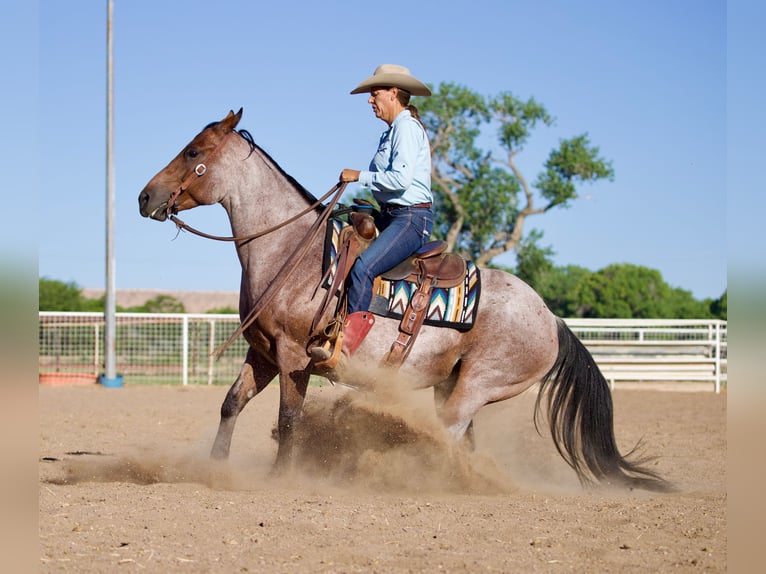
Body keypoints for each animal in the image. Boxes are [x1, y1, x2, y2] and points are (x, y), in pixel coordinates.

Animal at [138, 109, 671, 492]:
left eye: (193, 151)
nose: (145, 197)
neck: (292, 249)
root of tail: (552, 318)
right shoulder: (263, 352)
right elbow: (231, 404)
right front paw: (215, 468)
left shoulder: (294, 357)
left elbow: (289, 421)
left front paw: (280, 479)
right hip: (451, 384)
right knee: (461, 440)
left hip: (478, 385)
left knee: (448, 436)